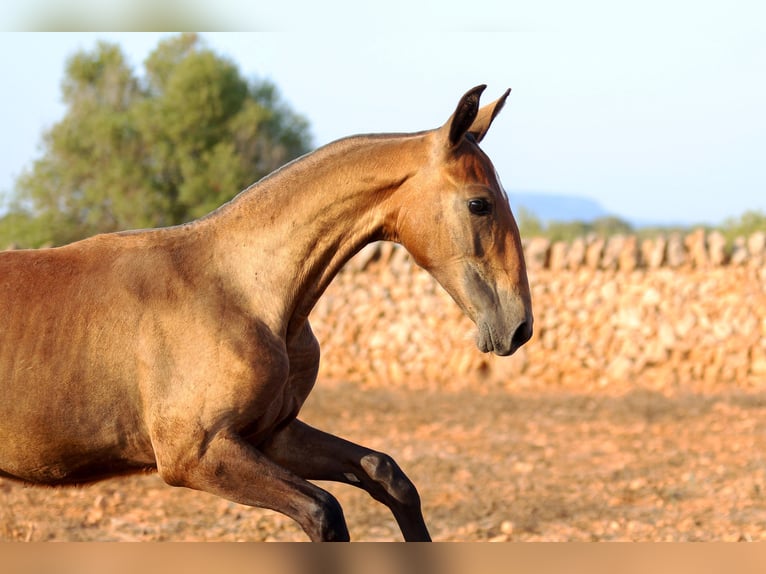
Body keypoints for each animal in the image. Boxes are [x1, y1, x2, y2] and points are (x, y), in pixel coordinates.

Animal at [0, 85, 532, 541]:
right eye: (479, 203)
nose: (519, 327)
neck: (242, 292)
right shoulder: (196, 455)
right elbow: (324, 512)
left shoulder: (273, 435)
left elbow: (388, 474)